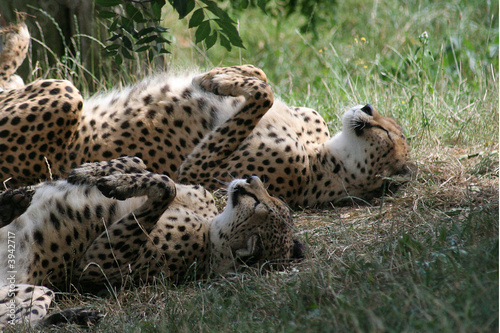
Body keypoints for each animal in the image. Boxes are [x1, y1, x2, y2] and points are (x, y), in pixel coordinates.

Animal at [0, 19, 410, 206]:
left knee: (16, 85)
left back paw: (16, 39)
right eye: (386, 123)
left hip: (64, 94)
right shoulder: (309, 115)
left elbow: (262, 95)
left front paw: (219, 79)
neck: (329, 156)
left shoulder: (200, 173)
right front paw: (223, 74)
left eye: (389, 134)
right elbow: (263, 78)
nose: (367, 107)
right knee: (13, 81)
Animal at [0, 156, 300, 326]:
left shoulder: (94, 266)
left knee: (16, 327)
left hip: (37, 290)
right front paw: (93, 172)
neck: (213, 228)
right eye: (271, 199)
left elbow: (167, 185)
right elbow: (144, 164)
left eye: (259, 203)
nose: (251, 177)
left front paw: (117, 183)